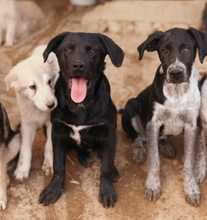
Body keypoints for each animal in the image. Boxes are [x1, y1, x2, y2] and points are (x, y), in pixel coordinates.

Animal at [4, 45, 59, 180]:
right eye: (32, 87)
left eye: (50, 82)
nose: (51, 105)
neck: (37, 109)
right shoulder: (27, 123)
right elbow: (25, 149)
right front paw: (22, 169)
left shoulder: (52, 122)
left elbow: (49, 145)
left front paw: (48, 164)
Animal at [38, 31, 123, 207]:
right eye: (67, 50)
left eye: (93, 51)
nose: (78, 65)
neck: (80, 105)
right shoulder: (58, 132)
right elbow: (58, 165)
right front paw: (53, 189)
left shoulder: (108, 131)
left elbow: (106, 166)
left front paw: (107, 191)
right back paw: (84, 155)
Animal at [122, 27, 207, 206]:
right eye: (164, 50)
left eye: (187, 48)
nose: (176, 73)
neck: (177, 91)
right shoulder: (153, 123)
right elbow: (154, 159)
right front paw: (153, 186)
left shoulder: (192, 125)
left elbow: (189, 162)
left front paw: (191, 189)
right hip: (131, 105)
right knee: (138, 137)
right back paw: (138, 151)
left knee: (159, 138)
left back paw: (166, 146)